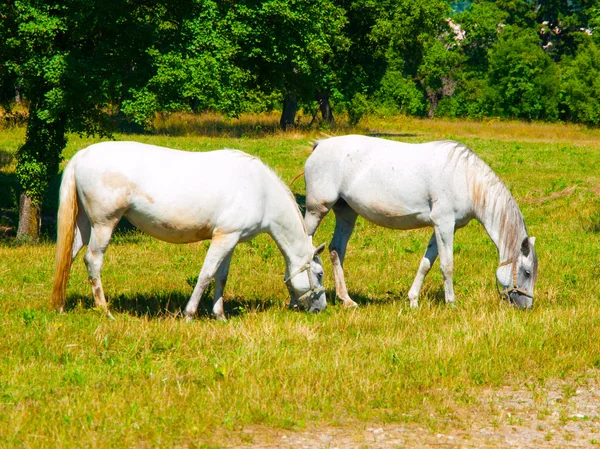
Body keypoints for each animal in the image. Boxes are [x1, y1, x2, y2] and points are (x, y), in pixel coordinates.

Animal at [50, 142, 328, 320]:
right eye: (320, 274)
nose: (322, 307)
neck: (261, 190)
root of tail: (81, 155)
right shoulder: (224, 238)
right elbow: (206, 275)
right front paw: (189, 314)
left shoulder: (230, 239)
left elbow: (221, 277)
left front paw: (219, 315)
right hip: (104, 225)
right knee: (92, 260)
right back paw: (104, 310)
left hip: (84, 225)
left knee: (68, 258)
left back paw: (61, 306)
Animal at [304, 133, 540, 308]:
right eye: (527, 272)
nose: (526, 306)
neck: (465, 178)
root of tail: (320, 145)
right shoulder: (444, 225)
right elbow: (447, 265)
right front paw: (451, 303)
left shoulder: (443, 228)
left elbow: (426, 264)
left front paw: (413, 300)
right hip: (316, 210)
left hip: (346, 214)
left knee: (336, 250)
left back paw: (347, 300)